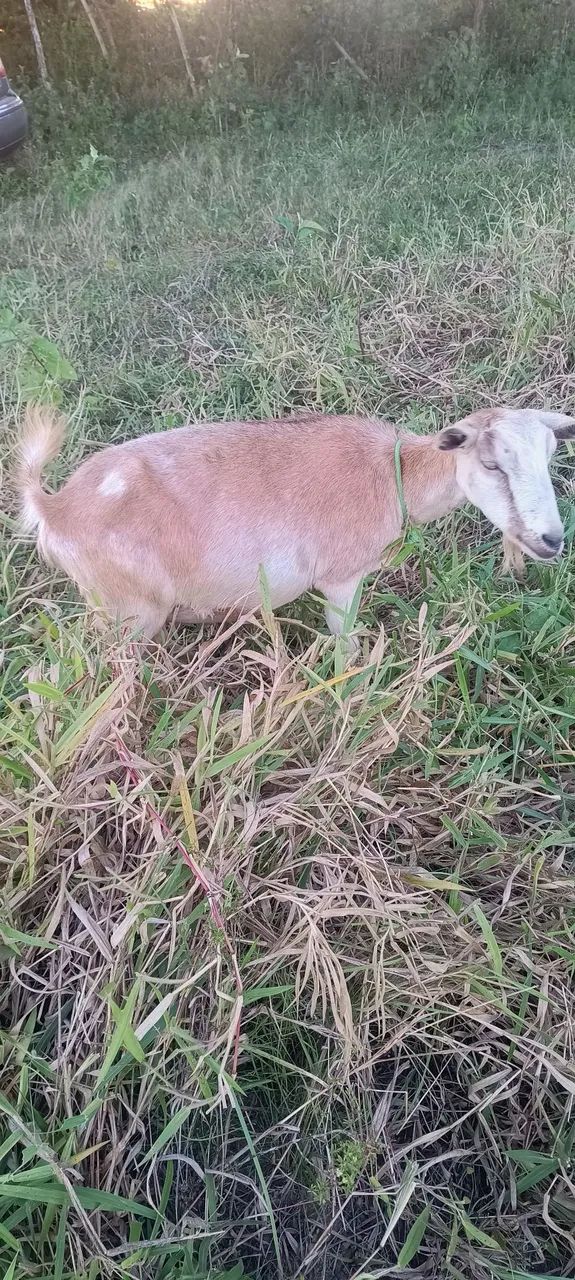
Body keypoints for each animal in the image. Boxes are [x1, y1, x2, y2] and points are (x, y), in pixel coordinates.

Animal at [16, 404, 575, 644]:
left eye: (550, 455)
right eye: (493, 464)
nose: (550, 540)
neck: (391, 473)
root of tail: (54, 507)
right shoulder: (342, 576)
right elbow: (346, 642)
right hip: (127, 613)